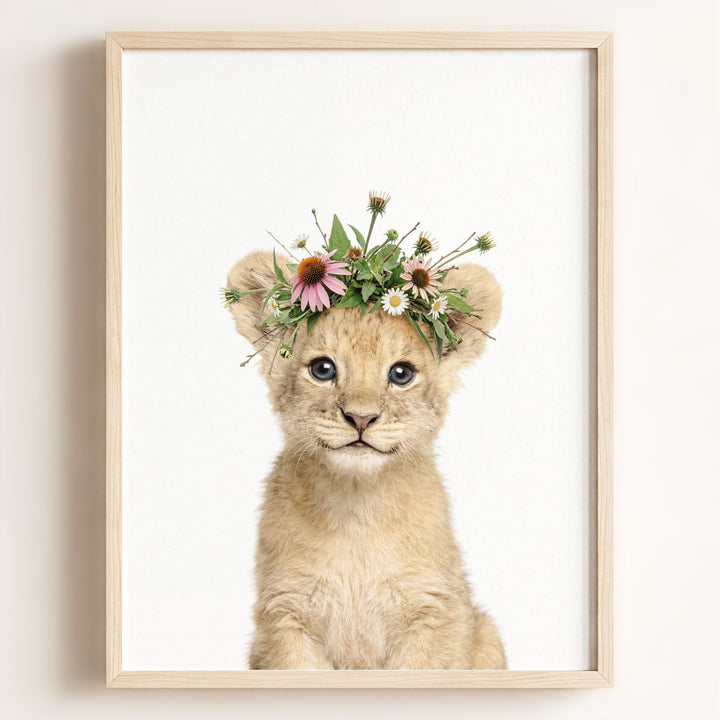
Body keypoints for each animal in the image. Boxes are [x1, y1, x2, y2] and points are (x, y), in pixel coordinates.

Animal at [226, 250, 506, 670]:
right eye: (322, 369)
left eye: (401, 373)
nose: (361, 418)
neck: (356, 509)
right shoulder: (285, 615)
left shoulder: (435, 612)